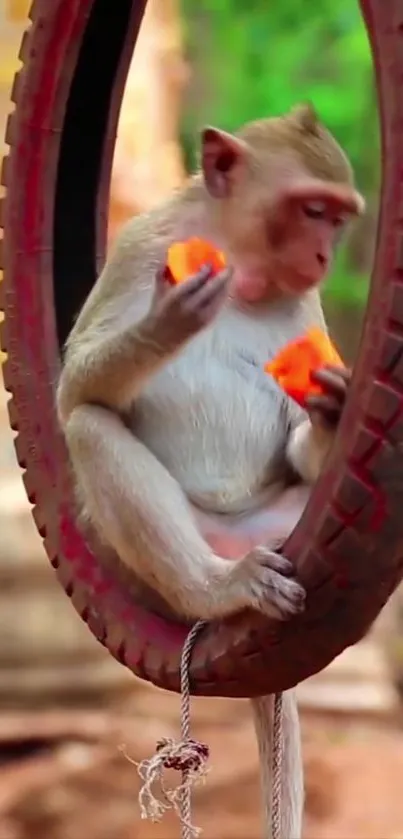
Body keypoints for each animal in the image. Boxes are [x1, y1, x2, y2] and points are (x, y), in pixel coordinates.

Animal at [56, 101, 366, 836]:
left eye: (338, 218)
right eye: (312, 209)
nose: (323, 255)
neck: (241, 263)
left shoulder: (304, 308)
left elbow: (298, 441)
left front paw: (332, 412)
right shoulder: (143, 244)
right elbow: (74, 392)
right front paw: (166, 324)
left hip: (282, 528)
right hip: (156, 572)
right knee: (91, 427)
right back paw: (218, 588)